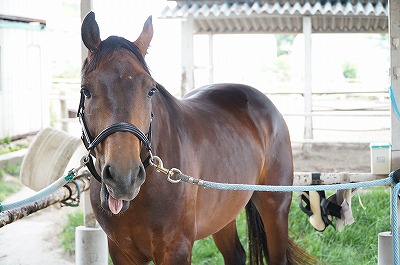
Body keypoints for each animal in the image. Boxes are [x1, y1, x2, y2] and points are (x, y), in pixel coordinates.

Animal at [78, 11, 316, 262]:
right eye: (86, 90)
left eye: (150, 90)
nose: (125, 177)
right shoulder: (121, 252)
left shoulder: (177, 249)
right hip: (223, 211)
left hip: (275, 207)